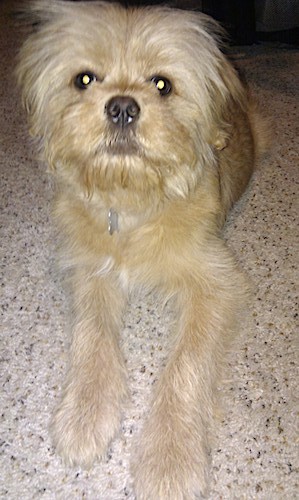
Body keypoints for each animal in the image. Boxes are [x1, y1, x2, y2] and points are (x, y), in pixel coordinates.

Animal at [15, 1, 270, 498]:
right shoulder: (90, 269)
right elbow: (92, 336)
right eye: (84, 79)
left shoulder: (216, 282)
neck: (131, 203)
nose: (122, 107)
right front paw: (85, 415)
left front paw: (169, 458)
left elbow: (186, 366)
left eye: (162, 84)